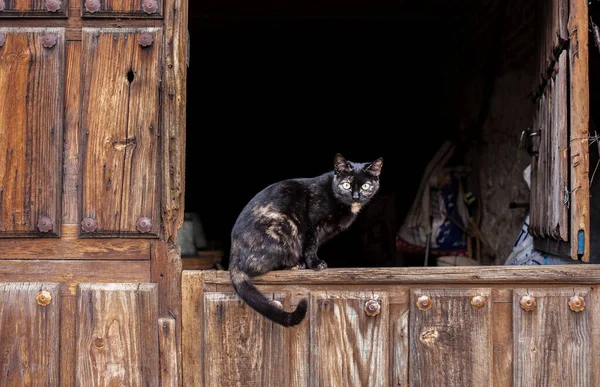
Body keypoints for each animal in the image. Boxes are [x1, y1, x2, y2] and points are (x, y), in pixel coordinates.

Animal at [227, 154, 382, 328]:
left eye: (366, 186)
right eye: (346, 185)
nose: (356, 196)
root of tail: (234, 255)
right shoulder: (312, 226)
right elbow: (310, 246)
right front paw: (315, 264)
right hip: (286, 226)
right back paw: (296, 264)